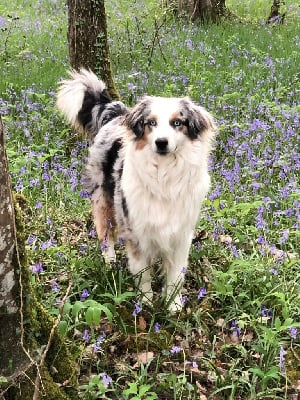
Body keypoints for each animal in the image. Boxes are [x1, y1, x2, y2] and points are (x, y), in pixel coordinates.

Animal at [55, 69, 216, 312]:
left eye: (177, 122)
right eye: (151, 123)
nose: (161, 142)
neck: (164, 176)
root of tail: (115, 114)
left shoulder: (181, 234)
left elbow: (176, 274)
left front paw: (173, 305)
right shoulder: (136, 231)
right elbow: (143, 274)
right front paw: (146, 303)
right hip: (103, 199)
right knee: (105, 235)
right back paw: (110, 264)